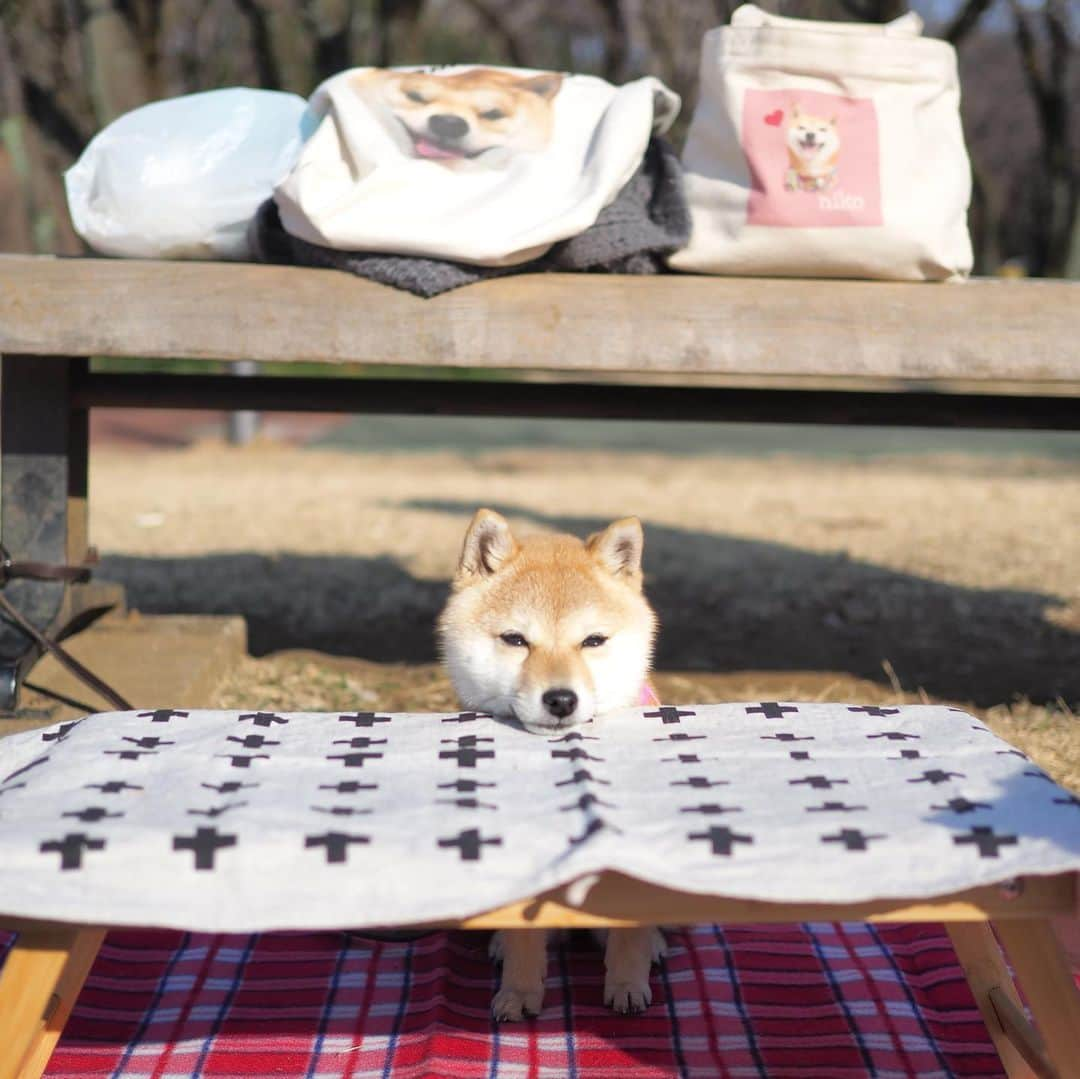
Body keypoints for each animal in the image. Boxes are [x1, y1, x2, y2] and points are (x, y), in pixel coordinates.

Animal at [434, 507, 660, 1019]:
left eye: (593, 641)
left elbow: (629, 936)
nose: (560, 699)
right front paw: (519, 992)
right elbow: (524, 939)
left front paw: (627, 982)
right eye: (515, 640)